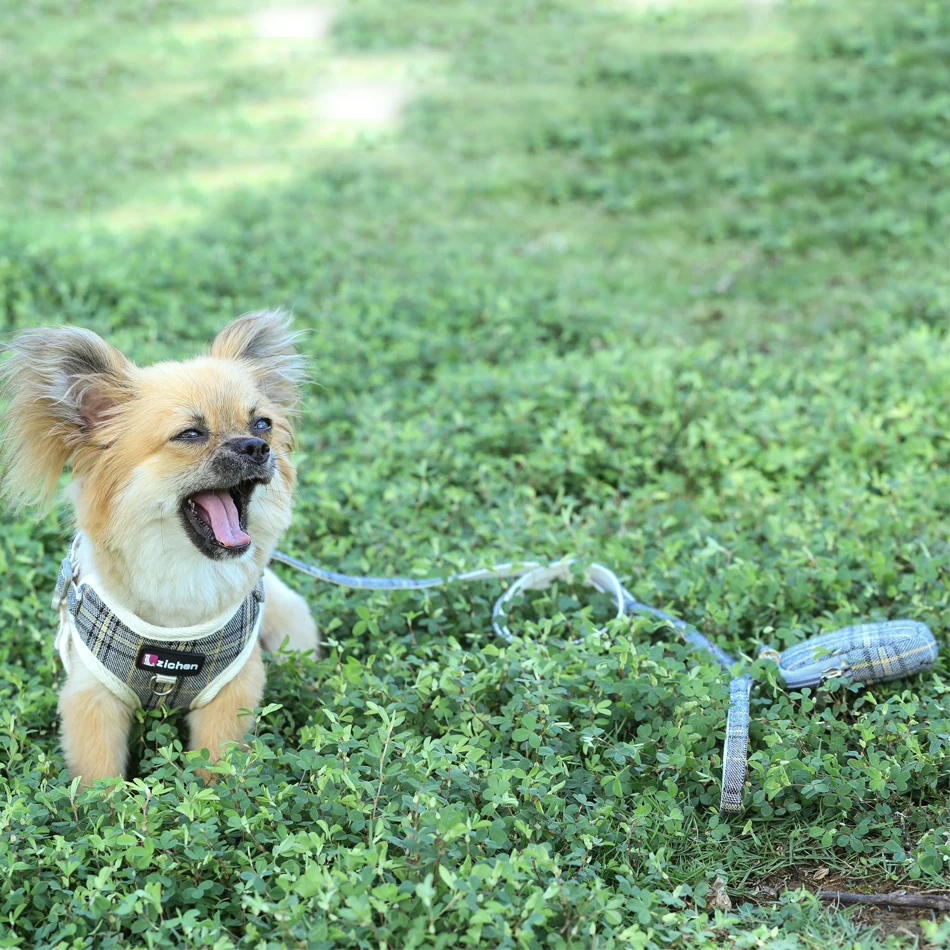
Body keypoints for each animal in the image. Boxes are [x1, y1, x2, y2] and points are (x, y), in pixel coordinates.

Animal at [0, 310, 320, 788]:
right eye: (190, 434)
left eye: (262, 423)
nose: (258, 447)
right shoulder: (93, 698)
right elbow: (99, 779)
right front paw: (105, 806)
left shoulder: (232, 692)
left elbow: (215, 765)